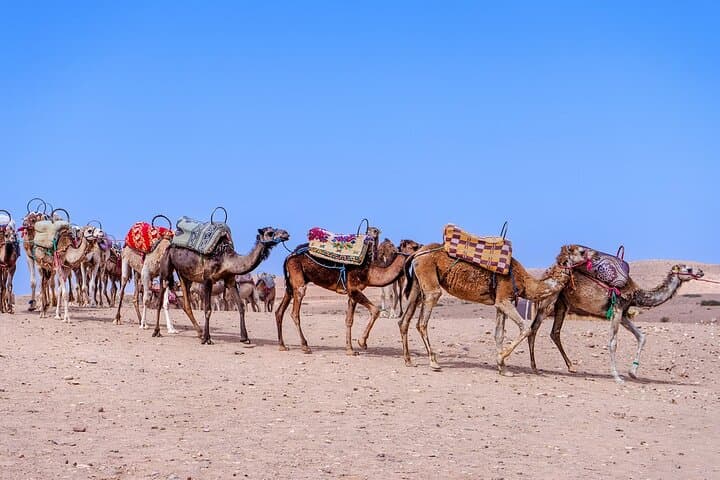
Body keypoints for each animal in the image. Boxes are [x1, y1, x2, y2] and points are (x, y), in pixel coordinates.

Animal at [154, 226, 290, 344]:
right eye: (270, 233)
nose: (286, 234)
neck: (226, 259)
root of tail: (170, 244)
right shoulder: (207, 279)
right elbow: (208, 309)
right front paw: (207, 339)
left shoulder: (230, 280)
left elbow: (241, 306)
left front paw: (244, 338)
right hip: (166, 268)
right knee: (160, 297)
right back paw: (157, 331)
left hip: (184, 275)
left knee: (187, 304)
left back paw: (199, 332)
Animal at [275, 237, 422, 355]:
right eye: (414, 246)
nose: (422, 249)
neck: (370, 271)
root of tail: (289, 256)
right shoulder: (354, 289)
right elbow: (375, 310)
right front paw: (362, 342)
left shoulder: (353, 293)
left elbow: (349, 320)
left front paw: (350, 350)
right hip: (298, 279)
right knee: (295, 312)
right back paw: (305, 346)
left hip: (292, 283)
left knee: (279, 311)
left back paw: (282, 346)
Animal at [399, 243, 595, 373]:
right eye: (581, 251)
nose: (594, 254)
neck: (526, 282)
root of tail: (417, 254)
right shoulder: (503, 299)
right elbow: (526, 328)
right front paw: (501, 359)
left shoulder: (501, 302)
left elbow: (499, 334)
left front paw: (503, 368)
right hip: (430, 281)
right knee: (422, 321)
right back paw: (433, 362)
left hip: (417, 285)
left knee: (404, 320)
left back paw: (408, 361)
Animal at [526, 264, 704, 383]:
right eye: (688, 269)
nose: (701, 272)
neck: (636, 294)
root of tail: (546, 273)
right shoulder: (617, 309)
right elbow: (613, 343)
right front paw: (617, 377)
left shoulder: (624, 314)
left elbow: (642, 336)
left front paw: (633, 372)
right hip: (550, 300)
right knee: (534, 327)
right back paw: (534, 367)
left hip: (563, 303)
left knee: (554, 332)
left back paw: (571, 367)